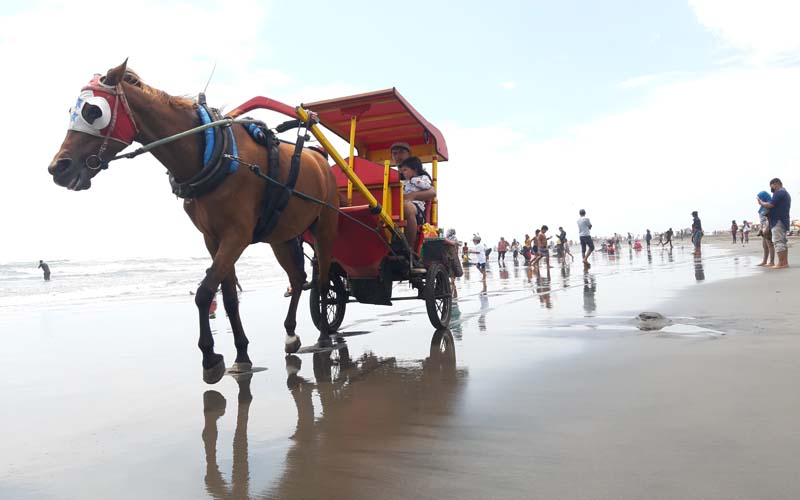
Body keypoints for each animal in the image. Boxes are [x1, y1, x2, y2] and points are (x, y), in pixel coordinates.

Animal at [46, 60, 340, 384]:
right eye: (72, 111)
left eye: (93, 111)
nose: (58, 167)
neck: (212, 154)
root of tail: (318, 156)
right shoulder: (213, 239)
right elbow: (228, 298)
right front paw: (241, 355)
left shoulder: (236, 236)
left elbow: (204, 293)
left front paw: (210, 357)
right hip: (282, 235)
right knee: (298, 279)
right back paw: (290, 334)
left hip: (325, 227)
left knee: (323, 281)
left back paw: (324, 335)